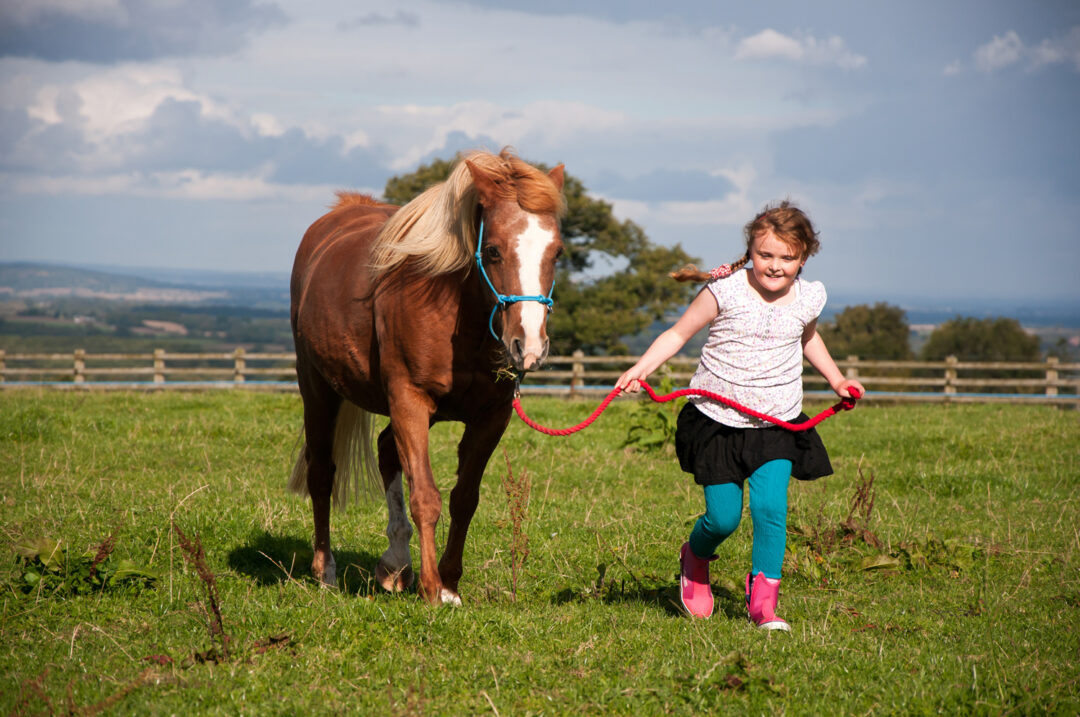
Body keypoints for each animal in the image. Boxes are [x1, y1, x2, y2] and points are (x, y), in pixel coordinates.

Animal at [291, 146, 570, 604]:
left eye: (557, 253)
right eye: (493, 250)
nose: (528, 345)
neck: (456, 315)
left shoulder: (491, 417)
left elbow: (464, 499)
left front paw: (450, 583)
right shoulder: (410, 399)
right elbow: (426, 497)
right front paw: (432, 588)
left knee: (387, 450)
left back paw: (394, 564)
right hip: (318, 389)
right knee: (322, 473)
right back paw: (326, 572)